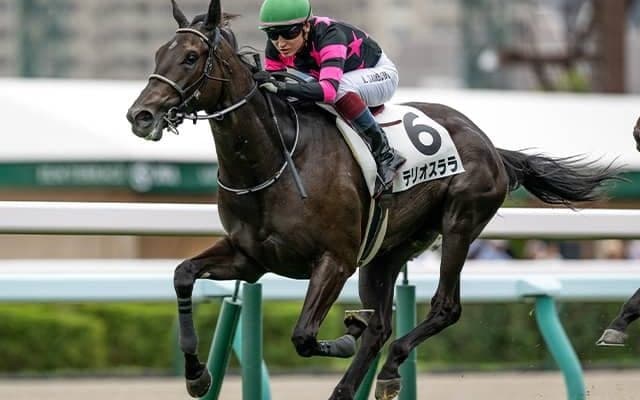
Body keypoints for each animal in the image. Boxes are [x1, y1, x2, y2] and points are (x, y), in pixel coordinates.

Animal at [126, 1, 619, 399]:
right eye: (158, 55)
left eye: (191, 57)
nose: (140, 115)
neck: (274, 162)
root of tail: (490, 144)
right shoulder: (250, 258)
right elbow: (183, 275)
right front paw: (197, 375)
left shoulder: (335, 259)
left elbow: (304, 336)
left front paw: (346, 332)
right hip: (387, 250)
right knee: (381, 326)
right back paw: (356, 383)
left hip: (459, 223)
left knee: (444, 307)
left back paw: (390, 368)